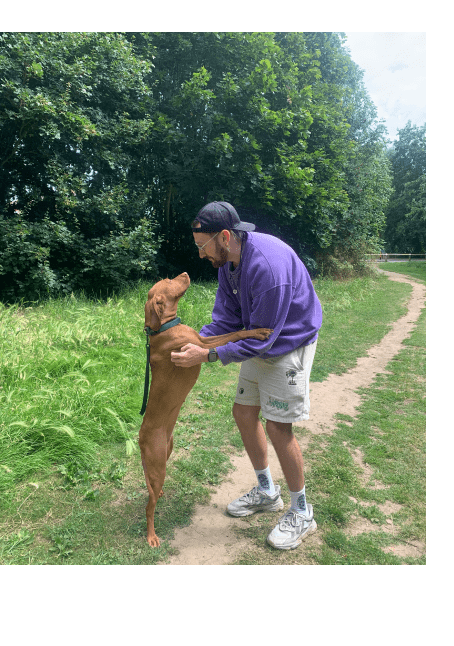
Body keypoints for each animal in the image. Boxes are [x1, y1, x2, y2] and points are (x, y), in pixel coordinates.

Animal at [138, 270, 274, 548]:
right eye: (169, 282)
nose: (185, 272)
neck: (161, 330)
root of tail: (139, 436)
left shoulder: (200, 340)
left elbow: (230, 334)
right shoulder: (199, 343)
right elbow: (234, 335)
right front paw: (258, 331)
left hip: (165, 454)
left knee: (152, 492)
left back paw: (160, 493)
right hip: (157, 465)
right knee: (149, 507)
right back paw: (151, 536)